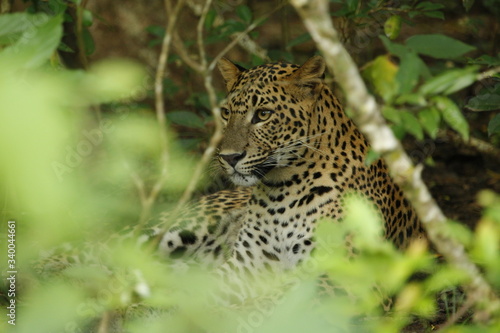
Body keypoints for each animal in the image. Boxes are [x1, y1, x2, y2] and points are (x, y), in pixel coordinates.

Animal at [160, 55, 426, 300]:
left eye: (263, 114)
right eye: (226, 113)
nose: (229, 157)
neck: (281, 188)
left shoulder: (341, 279)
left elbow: (272, 303)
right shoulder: (246, 265)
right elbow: (195, 296)